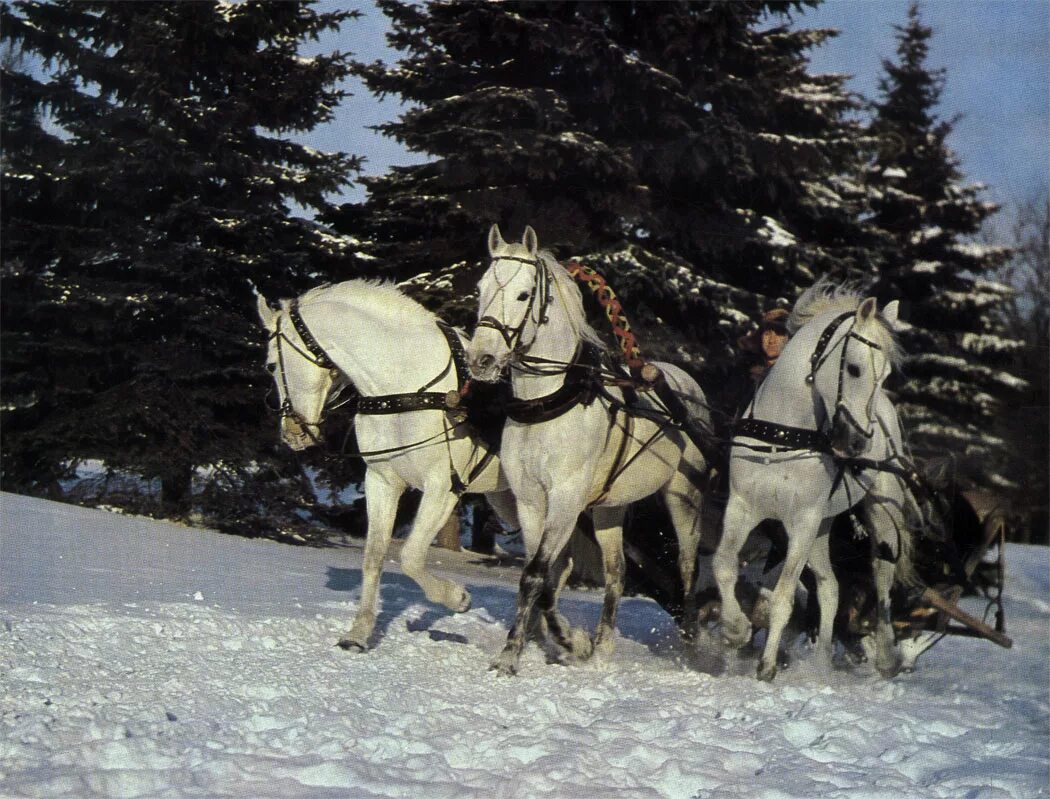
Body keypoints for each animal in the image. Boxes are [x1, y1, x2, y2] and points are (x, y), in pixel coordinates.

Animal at [254, 281, 516, 646]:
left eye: (270, 365)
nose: (293, 434)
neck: (407, 388)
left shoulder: (442, 487)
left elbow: (409, 556)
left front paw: (457, 598)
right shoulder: (382, 482)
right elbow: (374, 554)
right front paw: (359, 632)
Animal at [470, 222, 709, 671]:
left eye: (523, 295)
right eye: (480, 289)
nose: (481, 360)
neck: (546, 405)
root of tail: (681, 381)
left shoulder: (565, 499)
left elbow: (536, 573)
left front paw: (512, 656)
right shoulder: (532, 501)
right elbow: (543, 575)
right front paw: (568, 642)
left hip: (685, 497)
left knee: (687, 573)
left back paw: (690, 651)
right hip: (608, 507)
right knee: (616, 572)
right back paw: (602, 647)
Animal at [709, 281, 915, 680]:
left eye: (884, 376)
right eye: (854, 369)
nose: (856, 444)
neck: (782, 437)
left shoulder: (801, 521)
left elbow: (784, 594)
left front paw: (767, 666)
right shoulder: (742, 507)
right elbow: (723, 564)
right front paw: (735, 630)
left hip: (880, 515)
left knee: (882, 579)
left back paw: (885, 657)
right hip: (823, 525)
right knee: (830, 587)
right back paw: (821, 663)